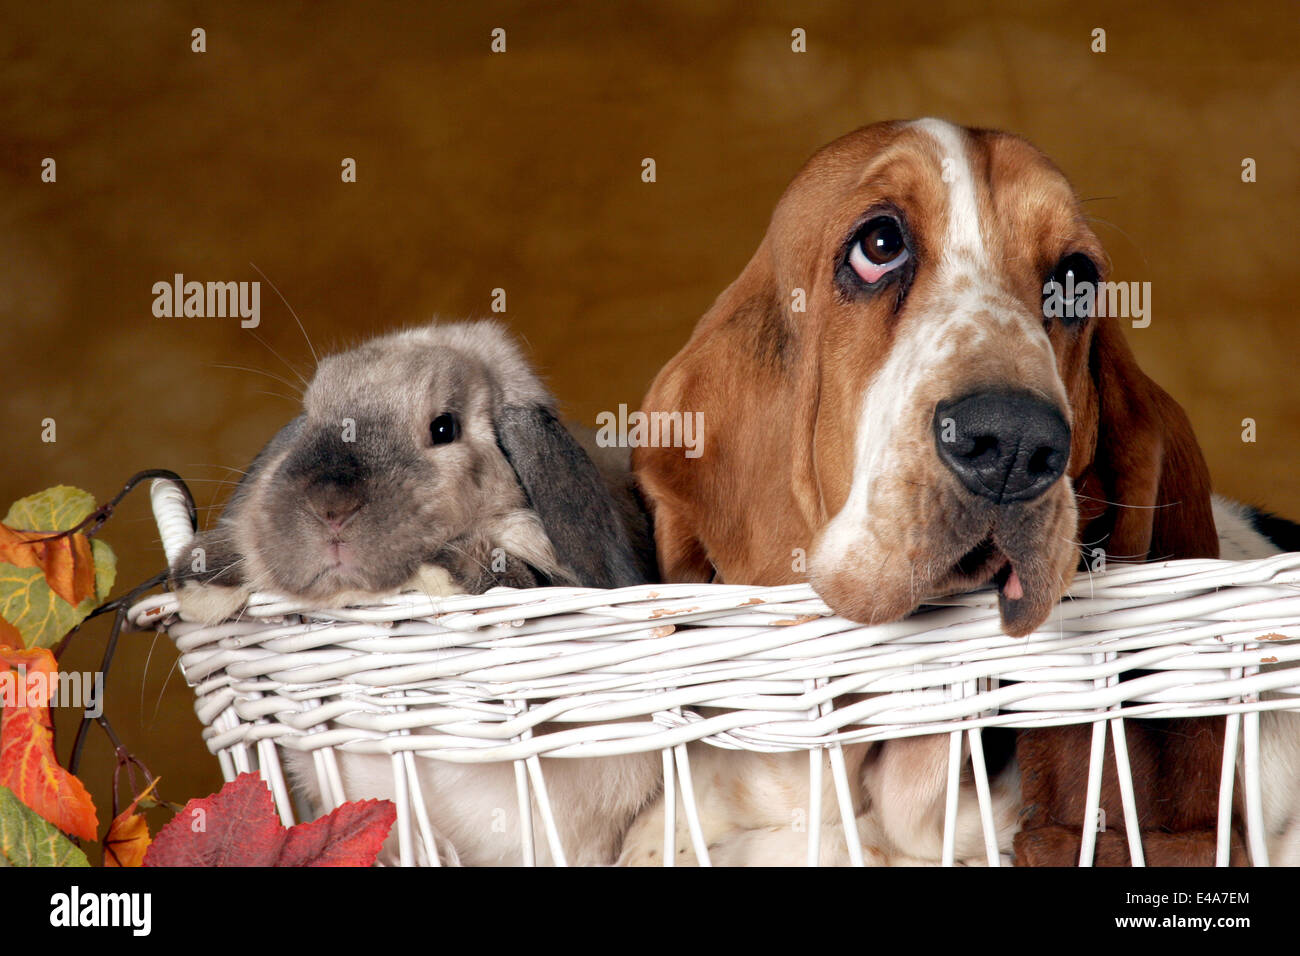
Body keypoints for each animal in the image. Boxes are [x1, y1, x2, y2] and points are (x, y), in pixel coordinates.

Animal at [170, 319, 662, 865]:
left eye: (444, 428)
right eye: (311, 415)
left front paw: (444, 567)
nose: (330, 507)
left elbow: (510, 575)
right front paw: (201, 574)